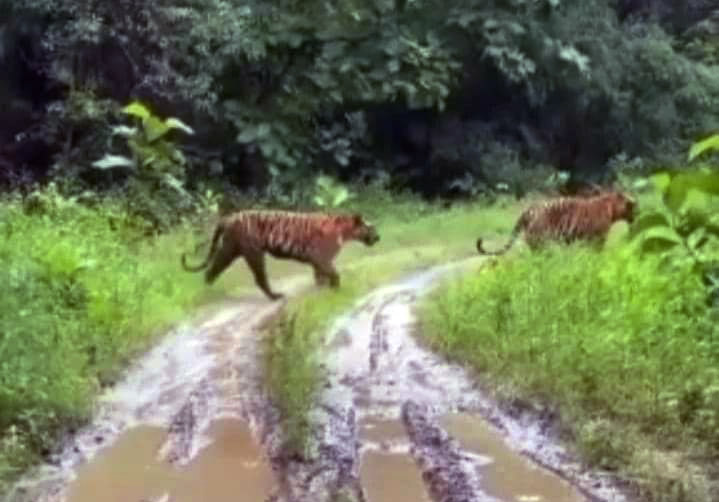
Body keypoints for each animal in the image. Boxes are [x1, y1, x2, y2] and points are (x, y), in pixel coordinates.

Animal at [183, 210, 380, 300]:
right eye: (372, 228)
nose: (378, 237)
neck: (345, 232)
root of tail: (229, 217)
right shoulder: (321, 257)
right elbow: (333, 273)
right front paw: (336, 289)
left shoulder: (317, 261)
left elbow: (320, 275)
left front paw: (322, 289)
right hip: (252, 252)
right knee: (259, 277)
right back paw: (275, 296)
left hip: (232, 250)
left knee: (214, 268)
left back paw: (207, 288)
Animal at [478, 188, 636, 255]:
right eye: (632, 206)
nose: (637, 214)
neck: (611, 208)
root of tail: (528, 210)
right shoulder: (597, 239)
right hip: (541, 242)